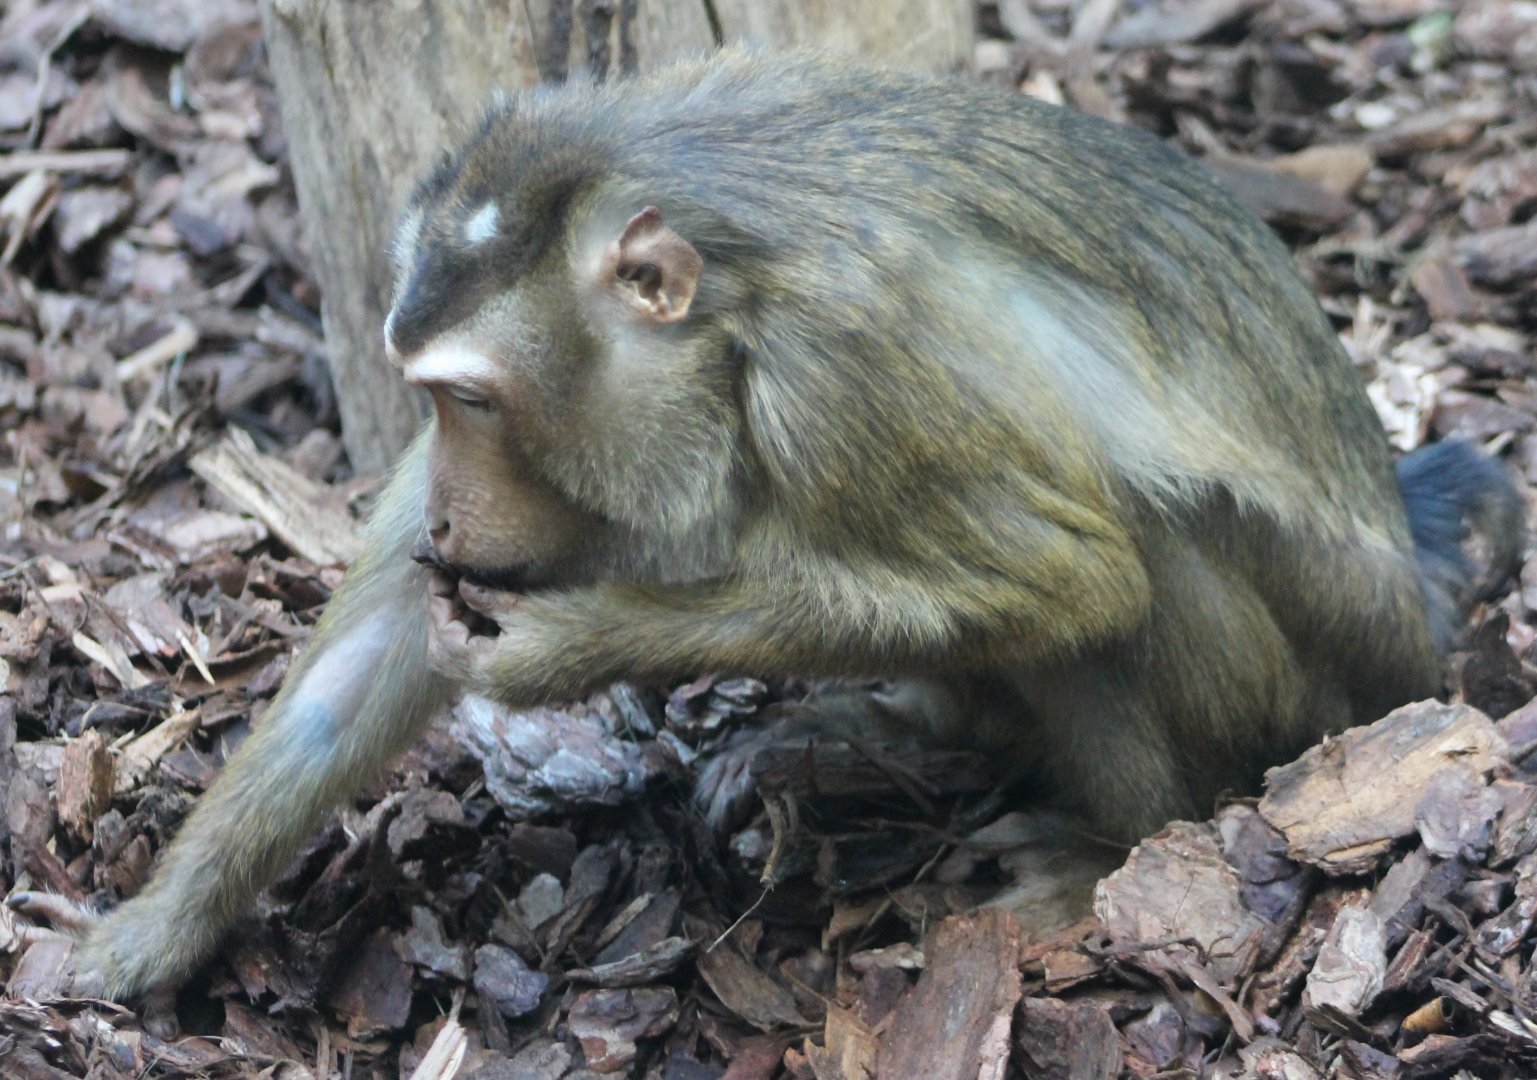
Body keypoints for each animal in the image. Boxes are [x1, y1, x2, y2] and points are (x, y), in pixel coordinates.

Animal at [11, 48, 1522, 1002]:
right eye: (425, 399)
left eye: (474, 402)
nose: (440, 495)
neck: (725, 319)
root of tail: (1416, 621)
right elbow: (378, 641)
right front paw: (154, 932)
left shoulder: (851, 363)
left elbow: (1073, 577)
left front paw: (569, 648)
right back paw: (895, 736)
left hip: (1309, 689)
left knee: (1127, 563)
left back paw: (1115, 848)